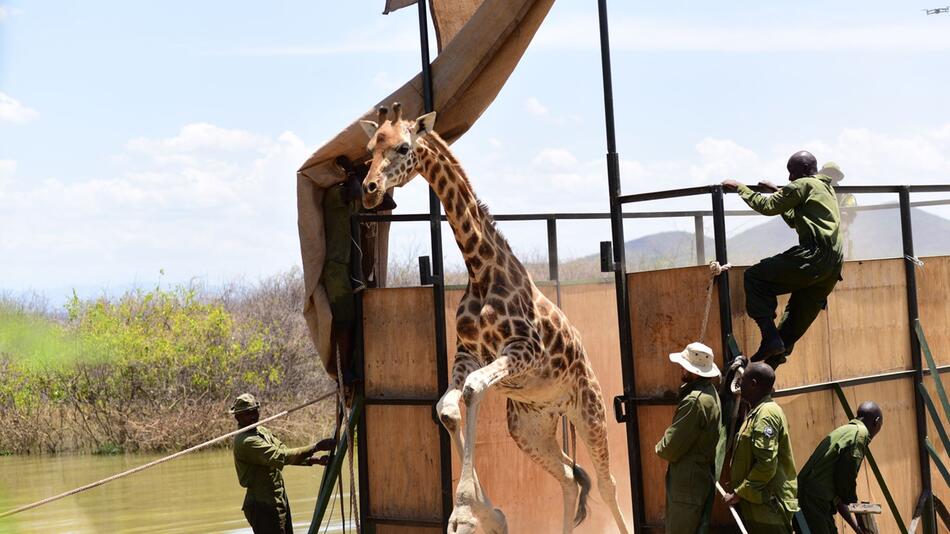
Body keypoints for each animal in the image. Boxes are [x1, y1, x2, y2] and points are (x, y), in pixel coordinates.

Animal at [356, 104, 632, 534]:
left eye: (403, 147)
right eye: (370, 149)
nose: (369, 189)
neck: (480, 270)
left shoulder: (523, 350)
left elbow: (471, 391)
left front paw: (467, 511)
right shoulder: (467, 354)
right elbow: (447, 408)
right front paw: (487, 513)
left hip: (590, 412)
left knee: (607, 484)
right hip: (529, 429)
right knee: (570, 479)